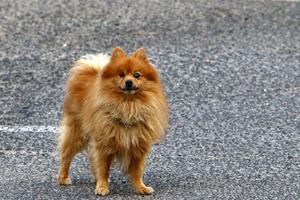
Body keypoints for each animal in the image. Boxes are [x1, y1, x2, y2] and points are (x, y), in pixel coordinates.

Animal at [56, 47, 169, 195]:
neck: (128, 105)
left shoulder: (138, 145)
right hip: (77, 133)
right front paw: (102, 187)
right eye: (121, 75)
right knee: (66, 155)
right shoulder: (104, 144)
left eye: (137, 75)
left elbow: (137, 171)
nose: (128, 82)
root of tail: (89, 71)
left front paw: (141, 187)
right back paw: (63, 178)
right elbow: (103, 168)